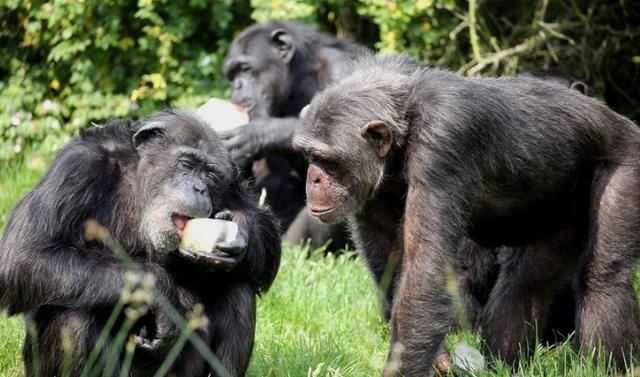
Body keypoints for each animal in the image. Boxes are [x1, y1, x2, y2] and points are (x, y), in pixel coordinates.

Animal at [0, 109, 280, 376]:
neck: (138, 185)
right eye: (187, 163)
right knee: (69, 314)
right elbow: (25, 254)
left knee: (238, 287)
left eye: (210, 174)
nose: (199, 188)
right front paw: (159, 291)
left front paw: (240, 234)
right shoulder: (76, 168)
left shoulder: (229, 182)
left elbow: (267, 235)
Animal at [222, 19, 368, 250]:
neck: (297, 81)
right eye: (232, 76)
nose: (237, 87)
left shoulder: (344, 67)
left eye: (245, 68)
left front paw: (258, 133)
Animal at [294, 54, 640, 374]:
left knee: (602, 278)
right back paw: (504, 365)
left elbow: (423, 274)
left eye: (327, 159)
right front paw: (439, 359)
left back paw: (609, 366)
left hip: (627, 162)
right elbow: (391, 263)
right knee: (525, 283)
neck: (405, 127)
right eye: (309, 155)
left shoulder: (443, 145)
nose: (313, 177)